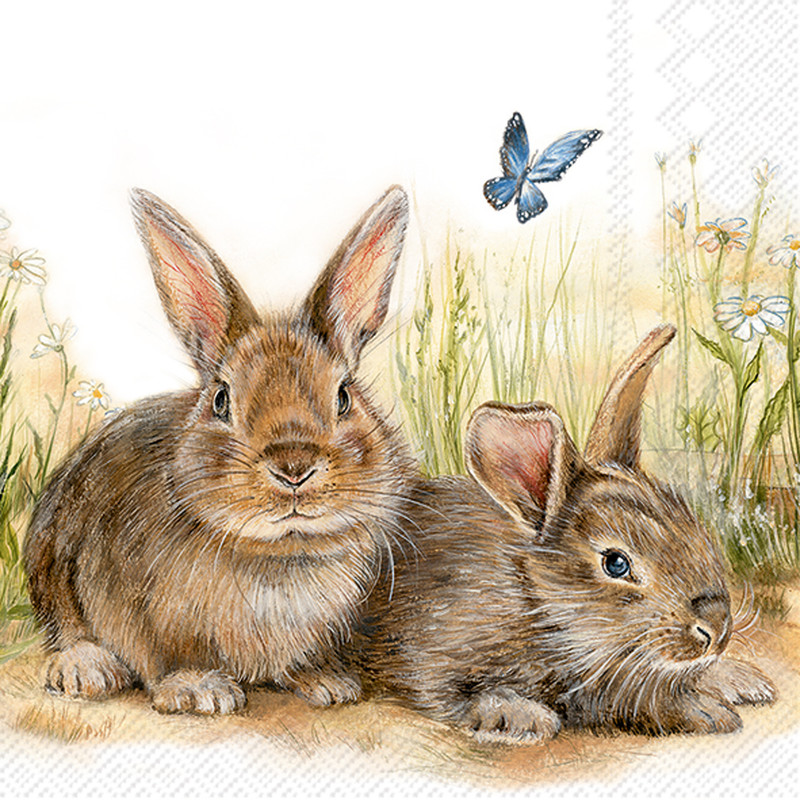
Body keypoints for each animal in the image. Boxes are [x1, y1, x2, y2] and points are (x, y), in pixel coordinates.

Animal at [24, 185, 416, 714]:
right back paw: (86, 669)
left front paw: (328, 683)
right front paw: (199, 690)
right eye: (221, 400)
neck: (279, 552)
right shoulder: (144, 614)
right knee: (64, 629)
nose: (294, 468)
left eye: (343, 396)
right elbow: (163, 657)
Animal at [351, 324, 776, 741]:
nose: (717, 628)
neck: (536, 602)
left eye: (696, 529)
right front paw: (519, 717)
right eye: (616, 563)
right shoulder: (432, 657)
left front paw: (742, 680)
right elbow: (457, 696)